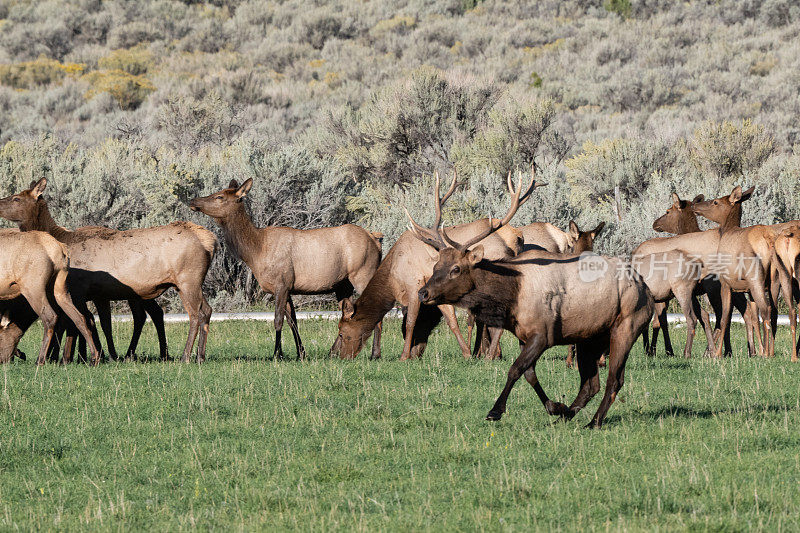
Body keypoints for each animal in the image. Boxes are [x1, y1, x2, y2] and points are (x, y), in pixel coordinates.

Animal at [0, 231, 103, 364]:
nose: (2, 360)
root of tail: (59, 250)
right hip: (60, 288)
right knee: (79, 317)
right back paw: (94, 357)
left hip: (33, 288)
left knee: (50, 316)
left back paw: (40, 360)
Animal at [334, 172, 528, 360]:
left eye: (342, 332)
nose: (340, 356)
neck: (393, 278)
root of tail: (514, 240)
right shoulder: (433, 293)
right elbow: (451, 321)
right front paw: (466, 354)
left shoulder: (414, 286)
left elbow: (411, 321)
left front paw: (404, 356)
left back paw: (491, 354)